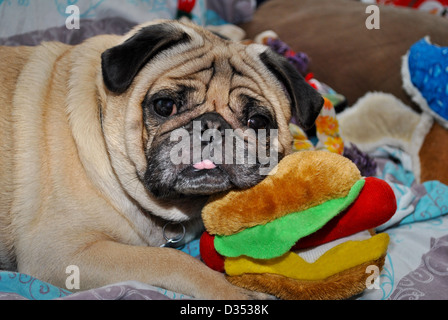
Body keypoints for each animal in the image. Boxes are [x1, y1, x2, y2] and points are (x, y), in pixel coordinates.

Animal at [0, 20, 324, 300]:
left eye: (257, 121)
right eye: (165, 106)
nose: (212, 124)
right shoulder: (62, 253)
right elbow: (170, 259)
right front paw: (233, 290)